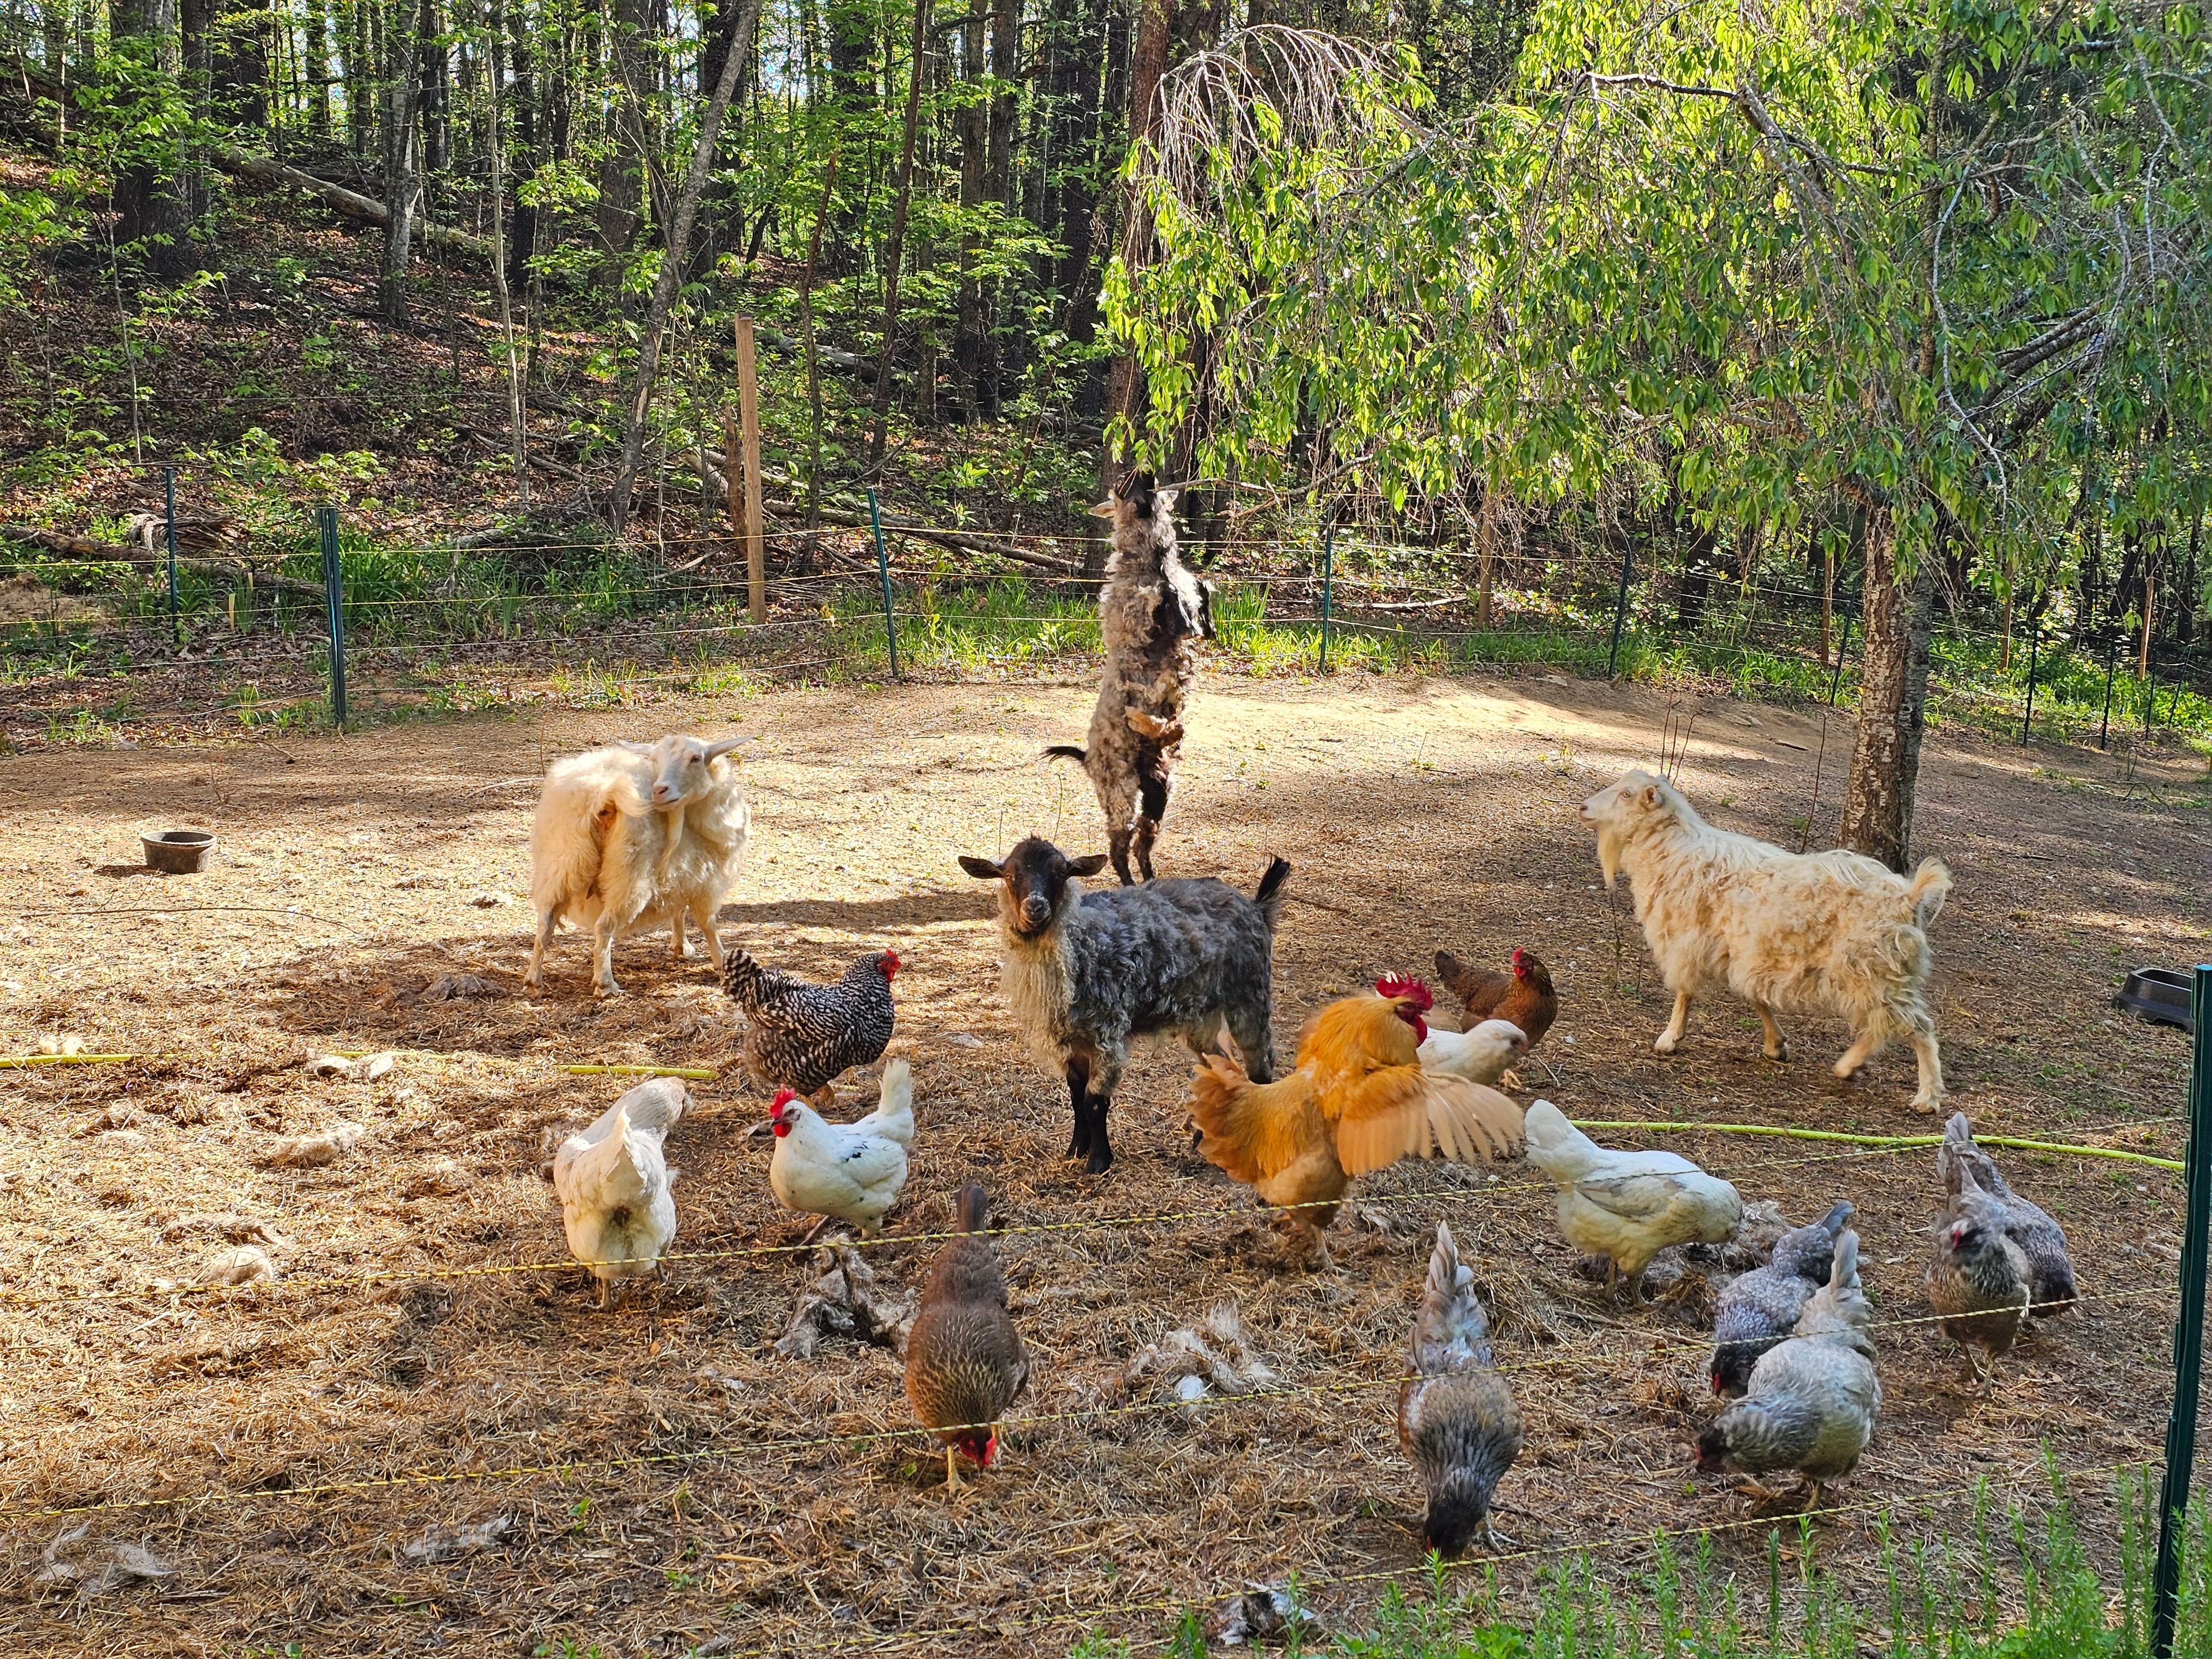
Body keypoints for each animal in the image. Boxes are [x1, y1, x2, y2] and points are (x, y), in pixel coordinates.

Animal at [526, 734, 750, 996]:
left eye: (695, 758)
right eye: (655, 760)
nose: (659, 791)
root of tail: (603, 795)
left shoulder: (681, 873)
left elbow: (678, 909)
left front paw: (681, 947)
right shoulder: (704, 878)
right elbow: (708, 923)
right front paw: (721, 960)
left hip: (561, 864)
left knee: (545, 923)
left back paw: (533, 978)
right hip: (627, 874)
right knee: (604, 927)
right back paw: (605, 983)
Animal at [958, 835, 1287, 1173]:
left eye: (1061, 872)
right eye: (1011, 875)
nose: (1035, 907)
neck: (1084, 943)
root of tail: (1256, 906)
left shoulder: (1108, 1032)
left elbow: (1094, 1102)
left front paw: (1098, 1162)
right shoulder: (1069, 1041)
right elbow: (1076, 1095)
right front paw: (1076, 1150)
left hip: (1249, 993)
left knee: (1260, 1067)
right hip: (1202, 1016)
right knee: (1222, 1066)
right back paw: (1202, 1139)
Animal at [1045, 472, 1214, 885]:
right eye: (1124, 488)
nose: (1143, 471)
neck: (1154, 565)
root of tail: (1087, 758)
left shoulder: (1193, 620)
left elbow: (1198, 605)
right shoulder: (1136, 620)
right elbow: (1167, 610)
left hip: (1158, 792)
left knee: (1141, 846)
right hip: (1121, 792)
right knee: (1118, 849)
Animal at [1581, 768, 1951, 1109]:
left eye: (1627, 794)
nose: (1583, 808)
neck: (1673, 851)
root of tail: (1909, 896)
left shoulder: (1689, 940)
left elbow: (1685, 992)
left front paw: (1670, 1038)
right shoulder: (1738, 949)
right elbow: (1755, 996)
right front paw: (1776, 1044)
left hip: (1873, 965)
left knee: (1916, 1027)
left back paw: (1925, 1095)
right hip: (1876, 972)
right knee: (1885, 1024)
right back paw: (1850, 1067)